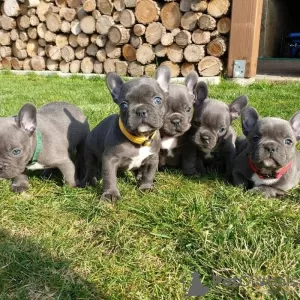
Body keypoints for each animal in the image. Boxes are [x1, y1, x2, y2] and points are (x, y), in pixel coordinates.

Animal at [81, 67, 171, 200]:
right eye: (124, 104)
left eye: (157, 100)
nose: (141, 111)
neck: (139, 139)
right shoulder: (110, 159)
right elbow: (109, 177)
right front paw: (110, 194)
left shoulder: (152, 158)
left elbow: (148, 174)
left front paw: (146, 187)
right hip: (89, 152)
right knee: (90, 166)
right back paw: (89, 180)